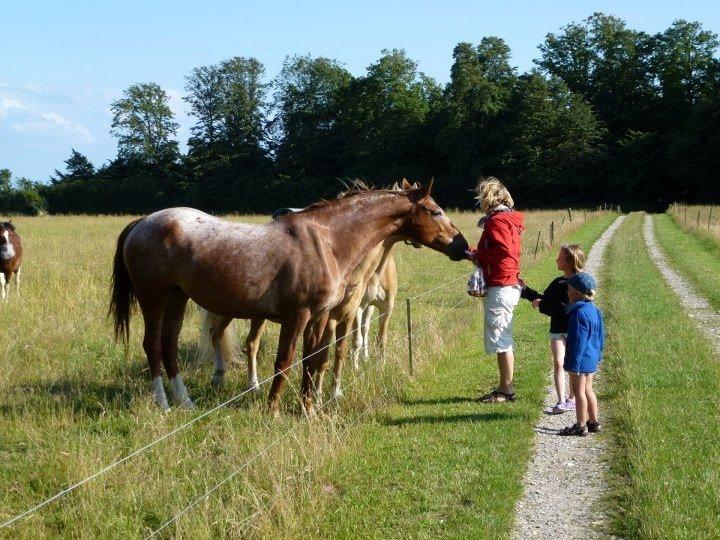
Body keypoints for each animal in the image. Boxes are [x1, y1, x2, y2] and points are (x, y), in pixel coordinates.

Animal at [107, 179, 466, 416]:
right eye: (435, 212)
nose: (461, 245)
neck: (327, 242)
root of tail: (143, 222)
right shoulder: (298, 315)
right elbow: (285, 361)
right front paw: (274, 409)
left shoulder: (320, 317)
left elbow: (313, 360)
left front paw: (308, 408)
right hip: (154, 297)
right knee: (153, 346)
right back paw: (164, 405)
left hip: (177, 298)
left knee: (169, 347)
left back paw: (186, 402)